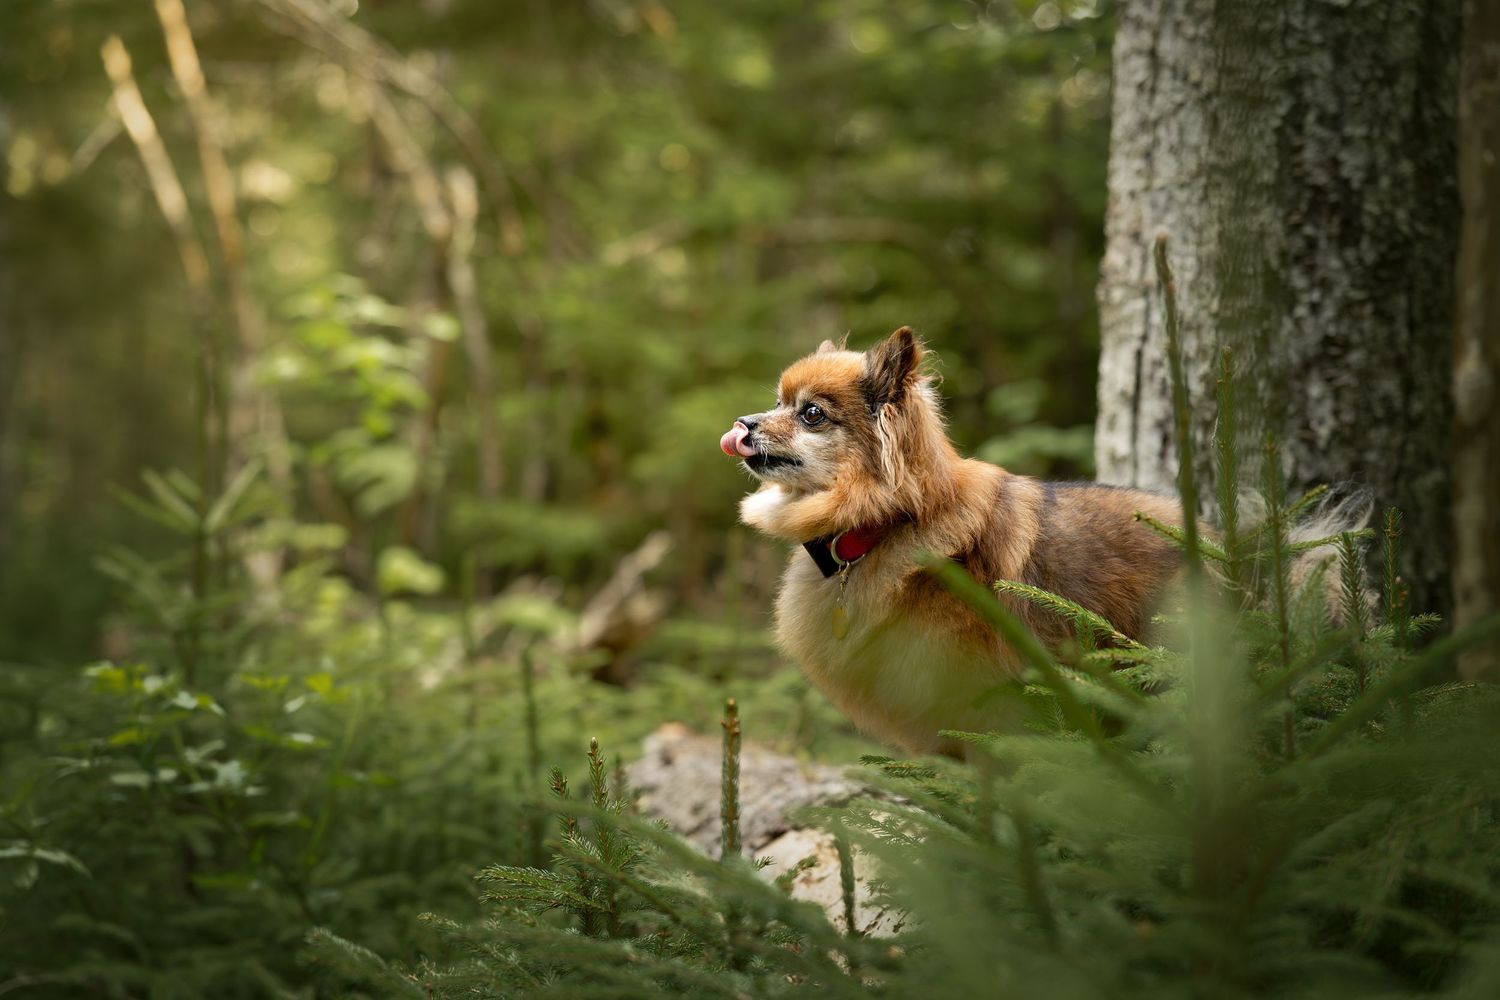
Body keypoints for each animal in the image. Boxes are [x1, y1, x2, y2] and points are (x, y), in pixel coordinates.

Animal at [721, 326, 1353, 757]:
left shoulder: (980, 702)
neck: (883, 525)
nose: (743, 424)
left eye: (811, 414)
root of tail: (1245, 557)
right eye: (777, 402)